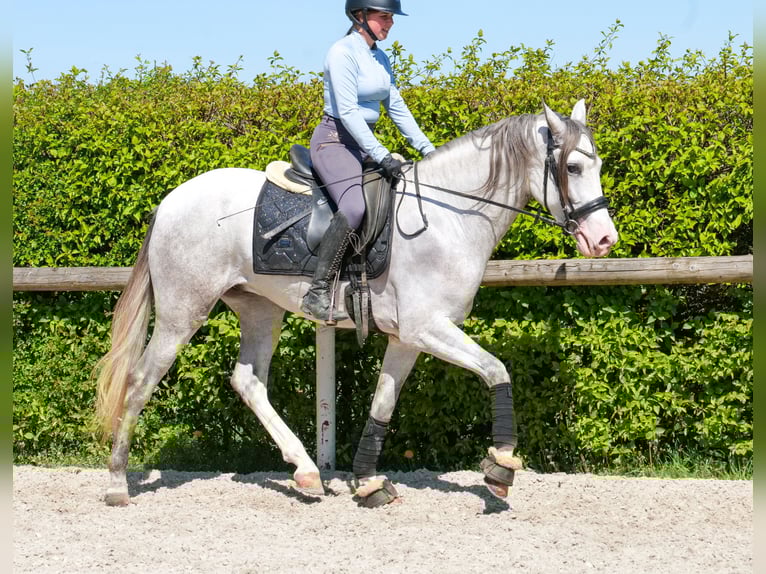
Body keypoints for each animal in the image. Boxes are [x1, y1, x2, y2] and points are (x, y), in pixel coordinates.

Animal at [94, 99, 618, 508]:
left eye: (597, 167)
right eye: (572, 168)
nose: (604, 239)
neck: (448, 219)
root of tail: (170, 201)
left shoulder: (410, 337)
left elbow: (383, 402)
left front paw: (367, 482)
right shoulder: (429, 328)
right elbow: (497, 370)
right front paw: (501, 467)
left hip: (261, 310)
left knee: (248, 381)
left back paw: (306, 471)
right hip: (182, 312)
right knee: (140, 381)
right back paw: (118, 482)